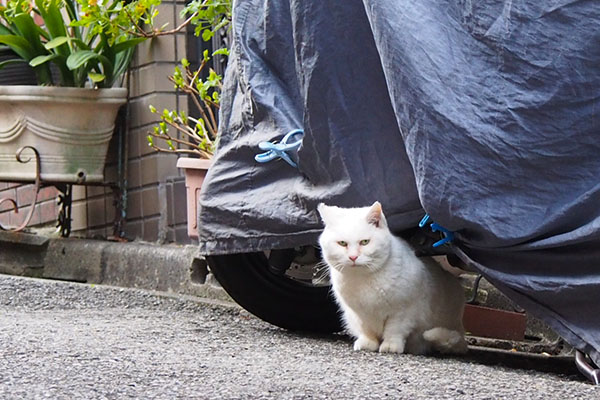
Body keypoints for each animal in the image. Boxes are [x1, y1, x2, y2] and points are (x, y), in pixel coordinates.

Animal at [316, 202, 466, 354]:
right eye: (342, 243)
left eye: (365, 242)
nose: (353, 257)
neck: (364, 279)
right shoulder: (359, 314)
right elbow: (367, 330)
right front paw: (368, 343)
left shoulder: (403, 311)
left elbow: (394, 330)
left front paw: (390, 346)